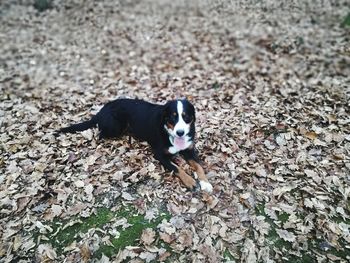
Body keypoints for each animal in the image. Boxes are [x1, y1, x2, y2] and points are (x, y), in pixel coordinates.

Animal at [56, 99, 213, 194]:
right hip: (115, 126)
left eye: (186, 116)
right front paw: (190, 181)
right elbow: (177, 168)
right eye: (173, 117)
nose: (180, 132)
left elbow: (199, 166)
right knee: (100, 133)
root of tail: (101, 110)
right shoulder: (159, 155)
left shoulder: (189, 149)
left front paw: (205, 183)